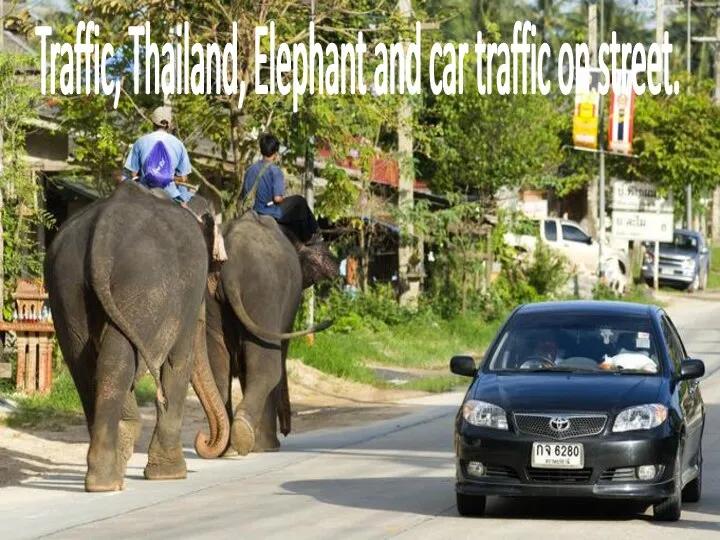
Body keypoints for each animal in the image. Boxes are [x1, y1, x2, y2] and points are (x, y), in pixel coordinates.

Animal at [45, 179, 229, 492]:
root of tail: (103, 231)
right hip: (143, 283)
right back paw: (108, 478)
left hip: (66, 284)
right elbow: (179, 360)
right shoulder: (188, 289)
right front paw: (170, 475)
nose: (203, 439)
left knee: (84, 364)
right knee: (117, 361)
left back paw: (106, 470)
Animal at [201, 211, 338, 456]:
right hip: (264, 290)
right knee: (267, 366)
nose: (286, 431)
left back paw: (227, 446)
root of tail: (230, 268)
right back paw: (250, 439)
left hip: (212, 297)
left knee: (218, 366)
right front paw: (267, 447)